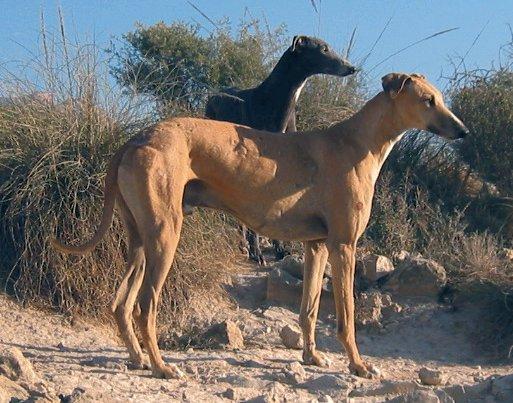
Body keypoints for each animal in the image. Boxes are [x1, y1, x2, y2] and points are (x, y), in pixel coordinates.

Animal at [52, 74, 468, 380]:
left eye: (439, 98)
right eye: (428, 100)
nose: (462, 131)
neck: (357, 142)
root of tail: (135, 140)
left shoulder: (317, 245)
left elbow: (309, 309)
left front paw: (311, 357)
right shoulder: (344, 245)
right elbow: (347, 317)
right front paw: (358, 365)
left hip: (140, 240)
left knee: (120, 303)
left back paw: (138, 358)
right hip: (165, 236)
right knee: (144, 306)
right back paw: (161, 367)